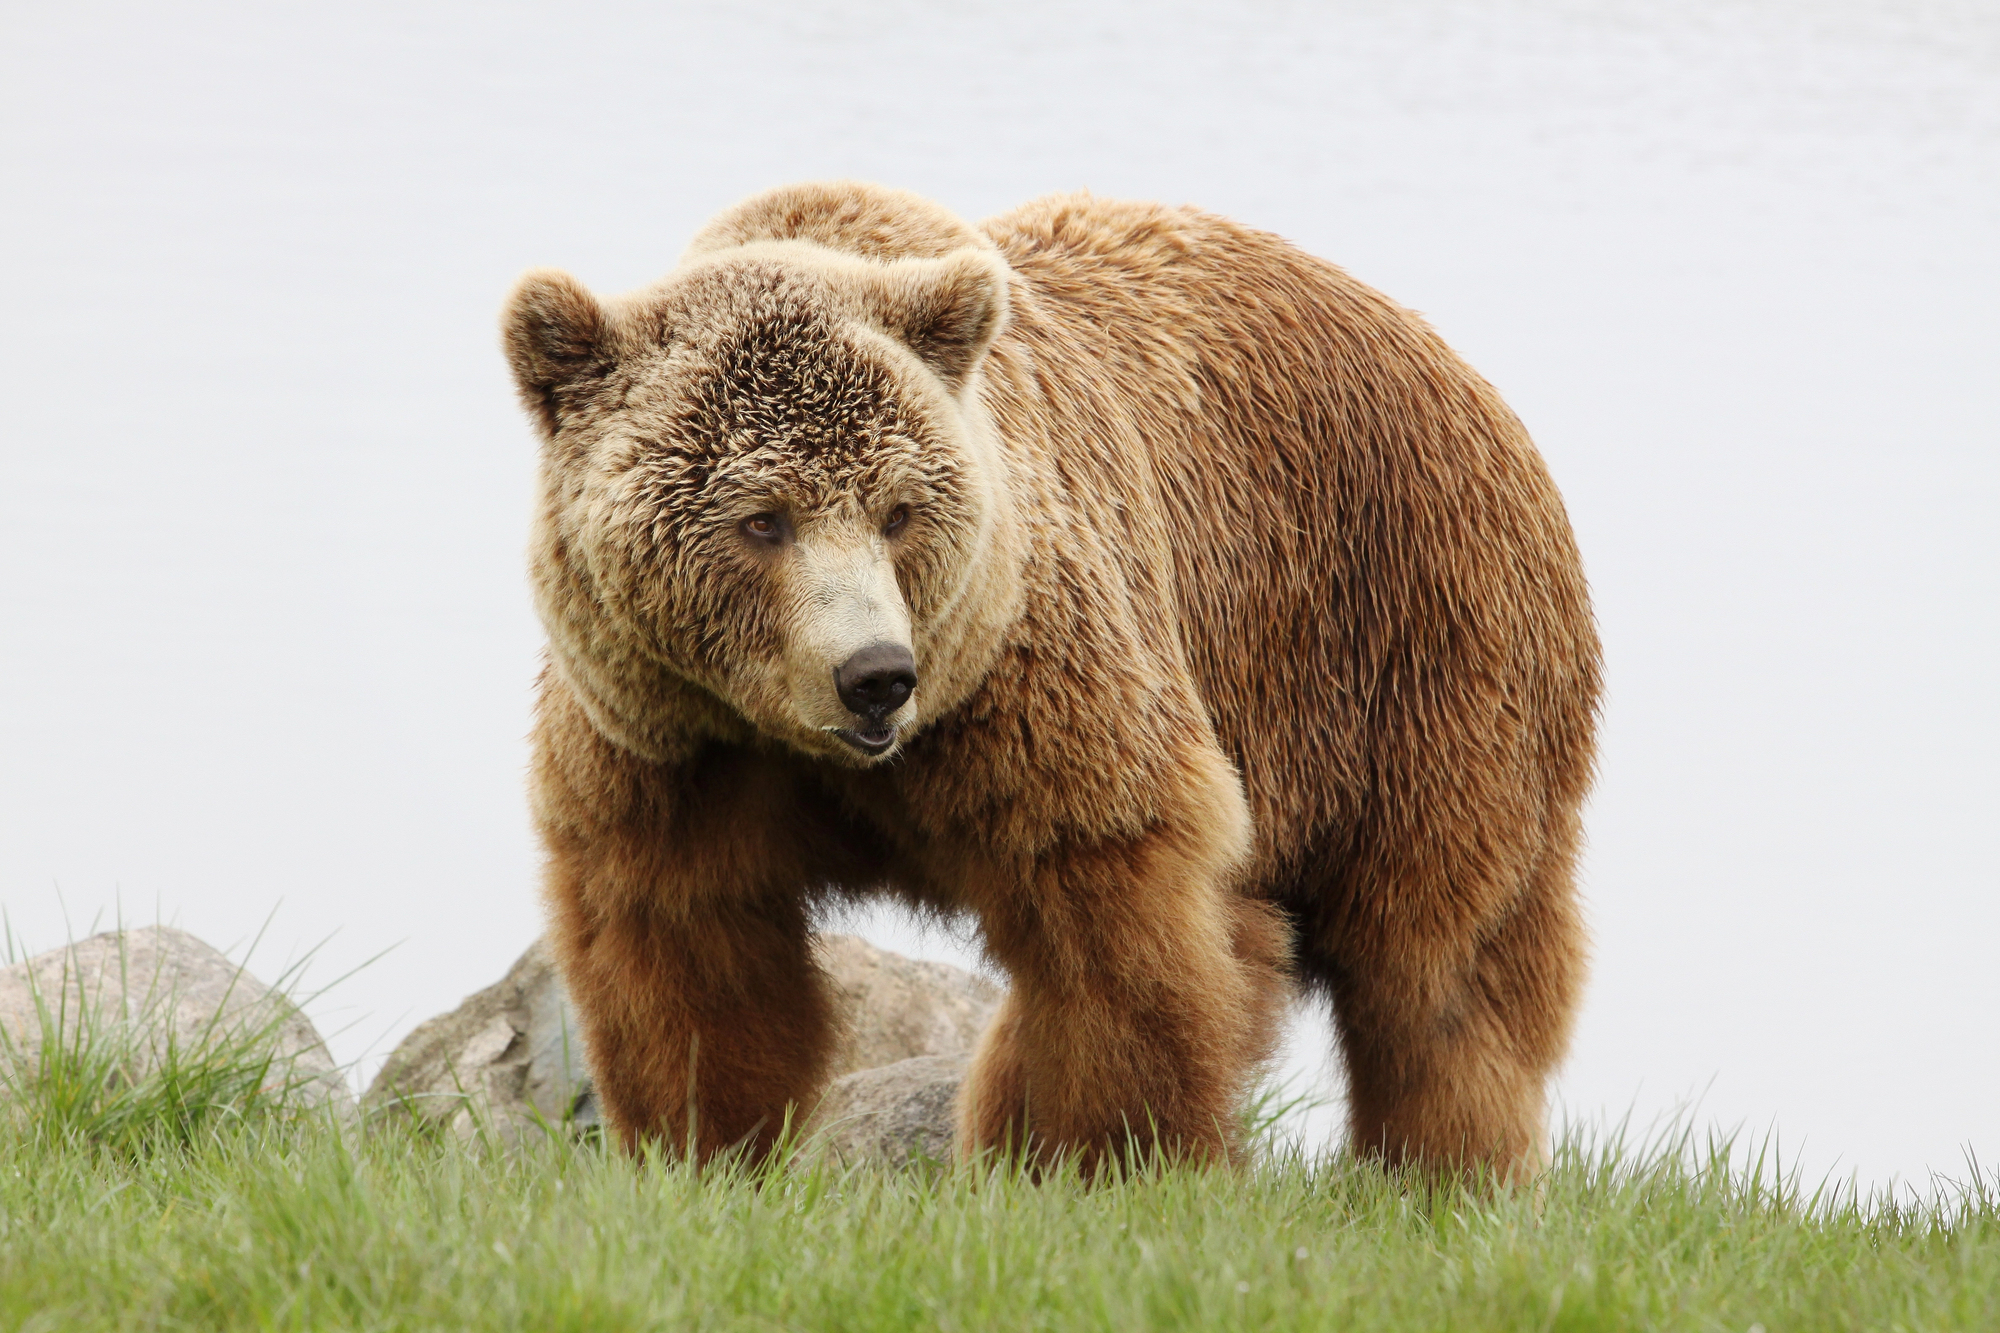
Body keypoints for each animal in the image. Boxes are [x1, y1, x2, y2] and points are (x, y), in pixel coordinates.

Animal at [502, 181, 1600, 1180]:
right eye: (761, 518)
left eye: (898, 511)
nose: (874, 677)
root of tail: (1454, 364)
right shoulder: (670, 738)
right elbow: (687, 947)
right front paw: (703, 1150)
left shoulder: (1032, 682)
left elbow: (1113, 925)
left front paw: (1100, 1159)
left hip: (1417, 647)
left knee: (1439, 963)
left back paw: (1445, 1172)